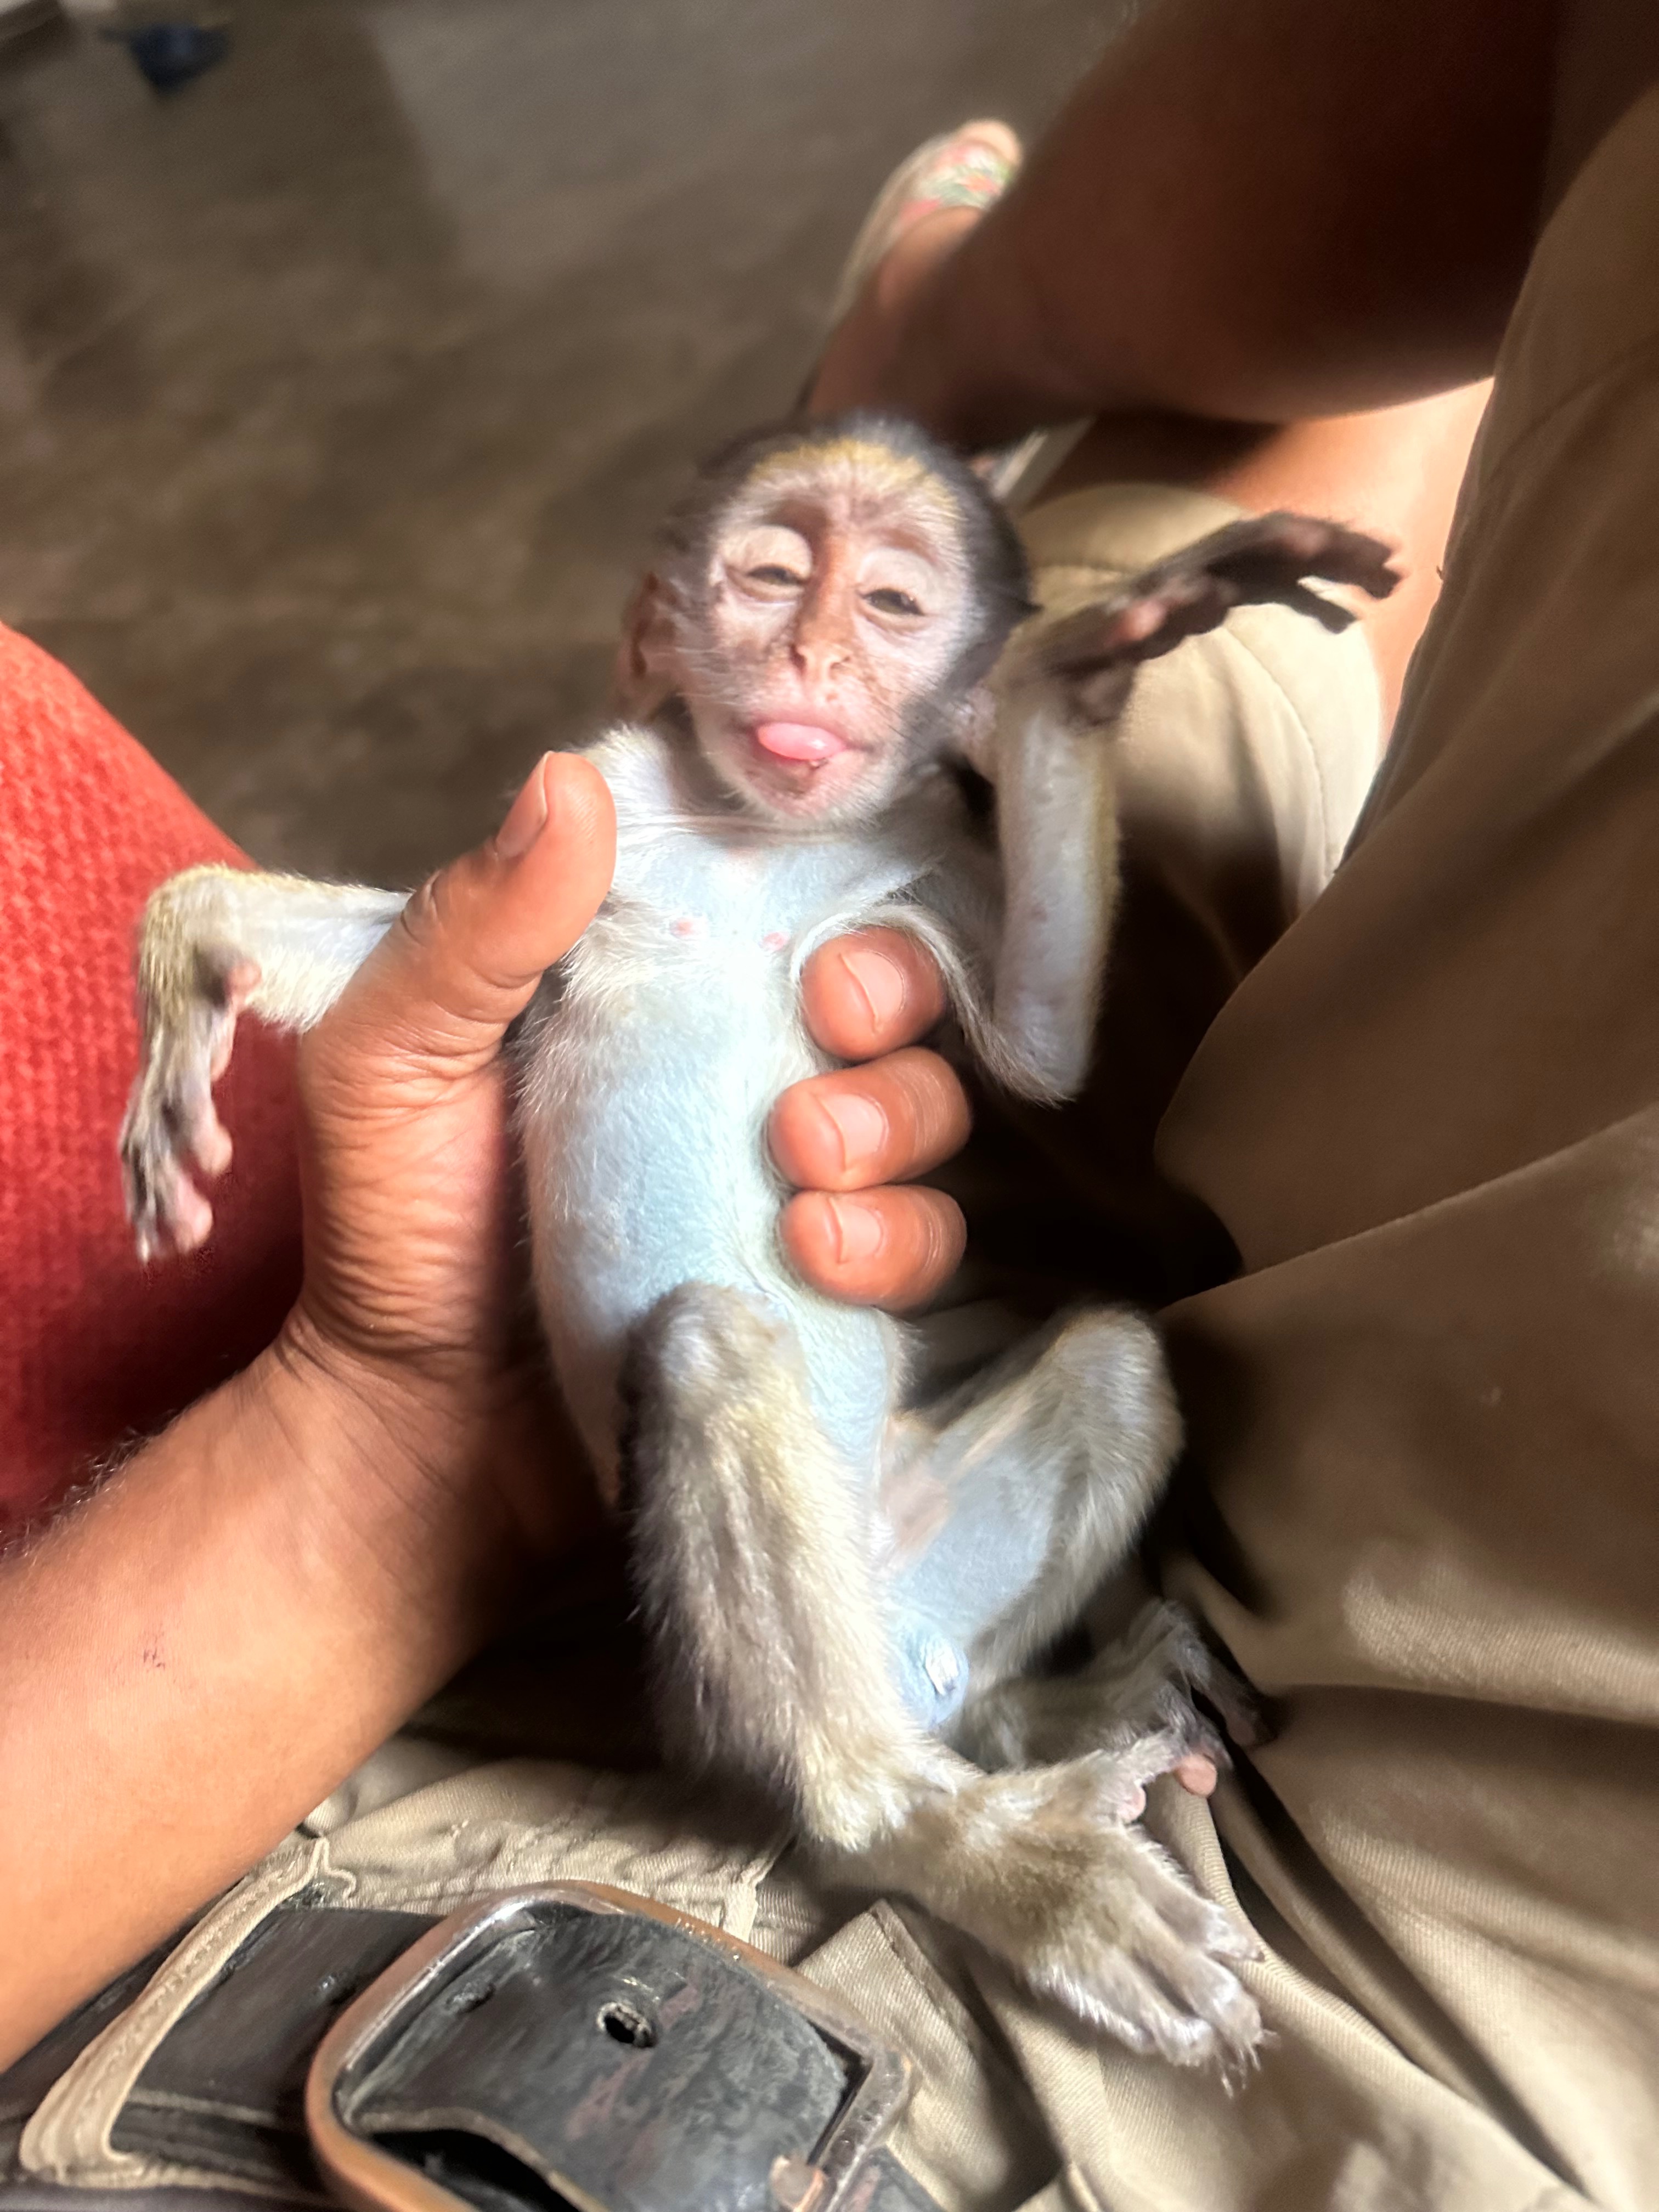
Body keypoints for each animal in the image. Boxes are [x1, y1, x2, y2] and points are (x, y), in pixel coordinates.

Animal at [119, 412, 1398, 2069]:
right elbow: (409, 959)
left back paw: (1017, 1738)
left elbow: (1043, 1051)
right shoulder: (589, 812)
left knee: (1108, 1360)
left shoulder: (924, 858)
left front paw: (1078, 671)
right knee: (713, 1350)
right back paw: (959, 1834)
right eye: (775, 573)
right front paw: (185, 964)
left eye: (896, 605)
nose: (813, 655)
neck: (746, 842)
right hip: (729, 1679)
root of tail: (890, 1645)